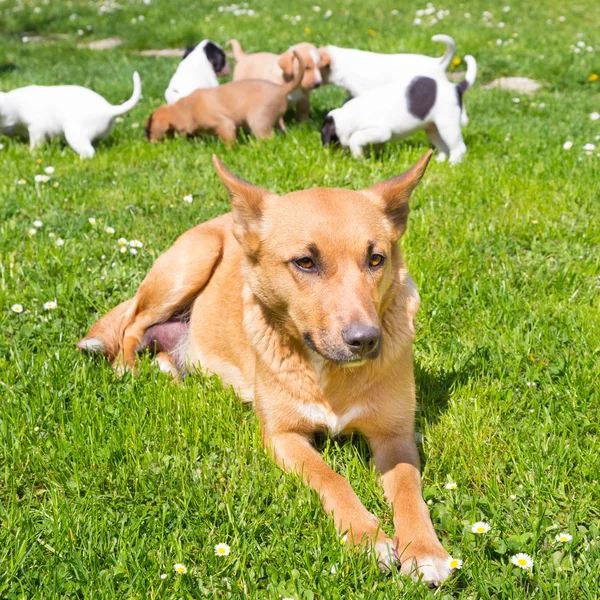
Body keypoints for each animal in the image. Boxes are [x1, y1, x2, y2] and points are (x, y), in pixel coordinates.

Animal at [0, 72, 142, 159]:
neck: (11, 103)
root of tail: (109, 109)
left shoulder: (37, 128)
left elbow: (36, 143)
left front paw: (32, 153)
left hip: (74, 135)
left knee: (89, 152)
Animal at [145, 48, 304, 144]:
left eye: (148, 128)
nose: (145, 139)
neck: (183, 108)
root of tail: (282, 89)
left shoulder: (225, 124)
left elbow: (229, 140)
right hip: (272, 120)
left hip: (258, 120)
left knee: (267, 138)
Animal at [322, 55, 476, 164]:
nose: (327, 153)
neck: (347, 117)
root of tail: (457, 87)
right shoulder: (378, 138)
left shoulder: (381, 131)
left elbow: (356, 138)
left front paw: (358, 157)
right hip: (432, 129)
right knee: (443, 147)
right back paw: (439, 161)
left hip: (448, 125)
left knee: (458, 147)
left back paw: (453, 164)